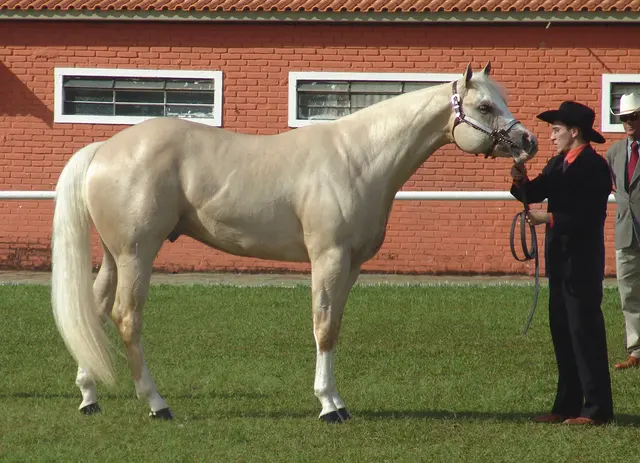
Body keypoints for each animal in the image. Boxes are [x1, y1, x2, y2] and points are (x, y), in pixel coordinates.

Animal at [51, 62, 538, 423]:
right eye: (484, 105)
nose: (528, 141)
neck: (358, 158)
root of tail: (105, 148)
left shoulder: (351, 265)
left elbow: (335, 326)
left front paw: (337, 401)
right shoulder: (328, 258)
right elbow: (322, 327)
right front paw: (328, 406)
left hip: (114, 255)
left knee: (95, 309)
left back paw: (89, 396)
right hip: (137, 253)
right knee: (126, 318)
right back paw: (157, 404)